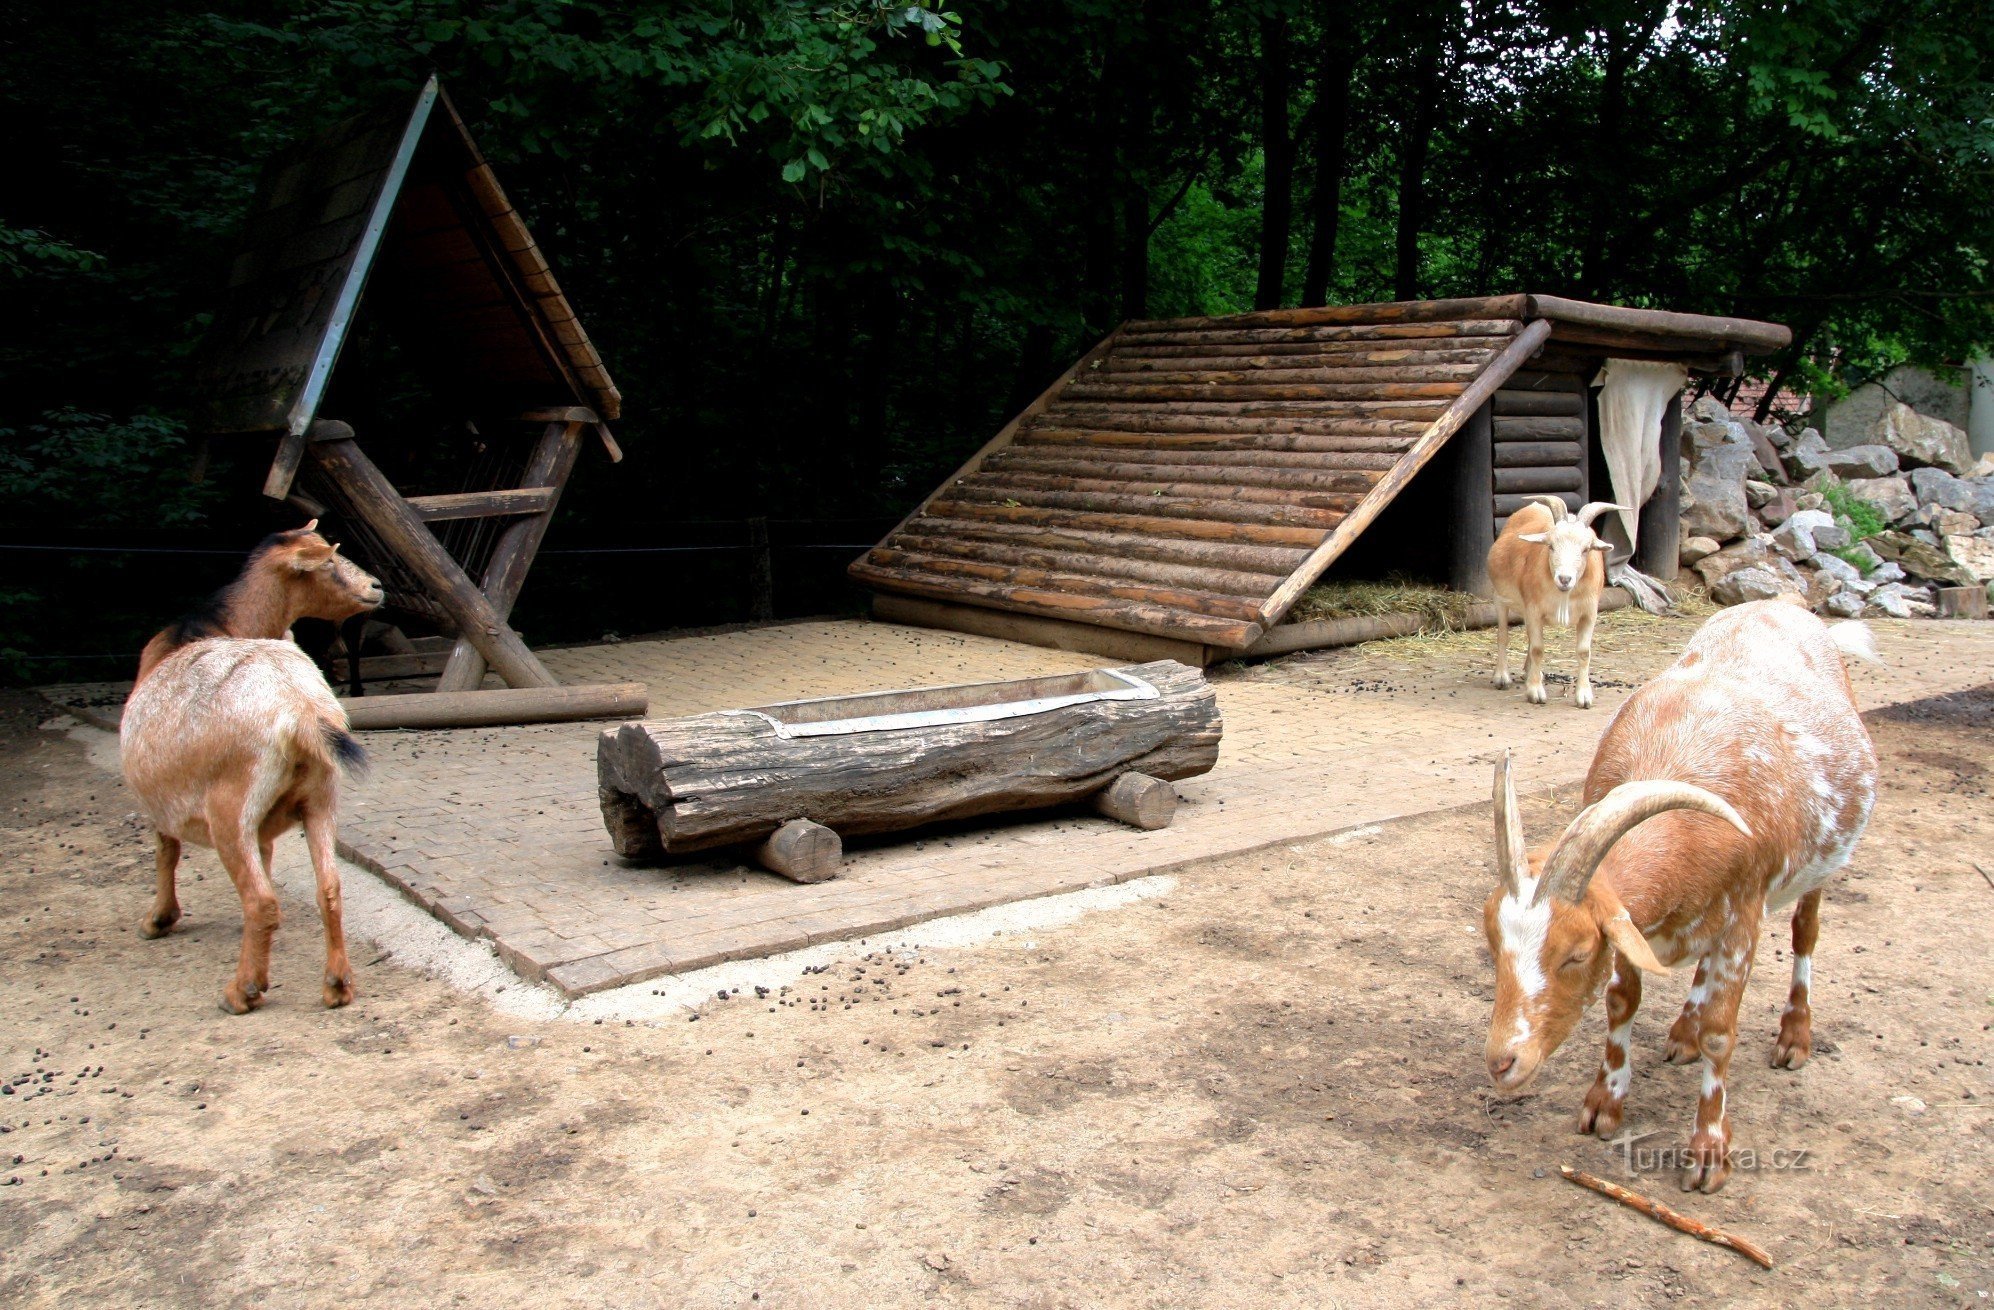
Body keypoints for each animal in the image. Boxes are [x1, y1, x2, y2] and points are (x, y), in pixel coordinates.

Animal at [1483, 598, 1882, 1188]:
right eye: (1493, 947)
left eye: (1576, 954)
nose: (1502, 1062)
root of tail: (1782, 603)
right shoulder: (1634, 928)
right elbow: (1622, 1002)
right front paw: (1604, 1104)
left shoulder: (1744, 918)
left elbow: (1721, 1030)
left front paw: (1709, 1153)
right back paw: (1683, 1032)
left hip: (1821, 866)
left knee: (1805, 933)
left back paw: (1794, 1037)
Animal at [1491, 496, 1627, 709]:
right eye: (1551, 546)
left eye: (1586, 549)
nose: (1564, 579)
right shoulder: (1534, 609)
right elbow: (1537, 649)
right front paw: (1535, 692)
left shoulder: (1589, 613)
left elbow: (1584, 652)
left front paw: (1584, 696)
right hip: (1501, 598)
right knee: (1503, 636)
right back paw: (1502, 677)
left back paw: (1529, 672)